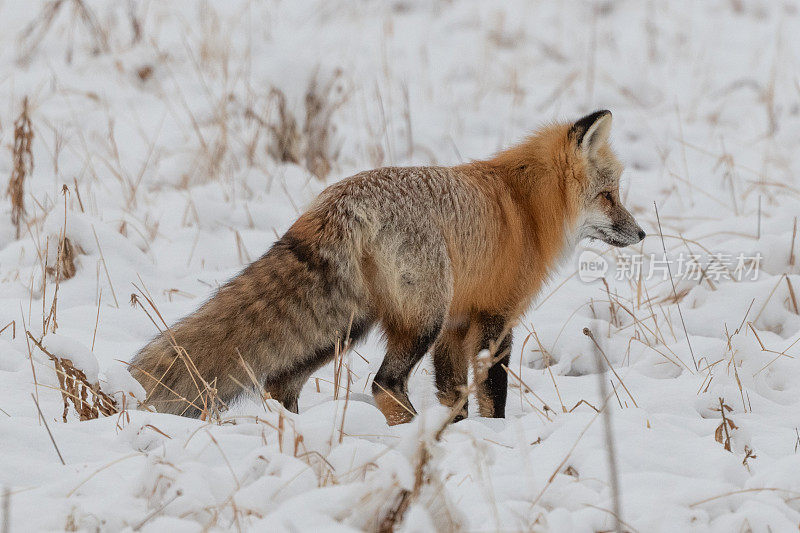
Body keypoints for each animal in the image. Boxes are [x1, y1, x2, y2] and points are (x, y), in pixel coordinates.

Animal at [130, 111, 644, 424]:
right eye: (609, 196)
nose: (641, 234)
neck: (526, 208)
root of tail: (339, 202)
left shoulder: (456, 325)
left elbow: (454, 395)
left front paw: (459, 432)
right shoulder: (494, 319)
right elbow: (491, 391)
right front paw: (492, 436)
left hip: (350, 325)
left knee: (280, 381)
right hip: (418, 321)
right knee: (384, 384)